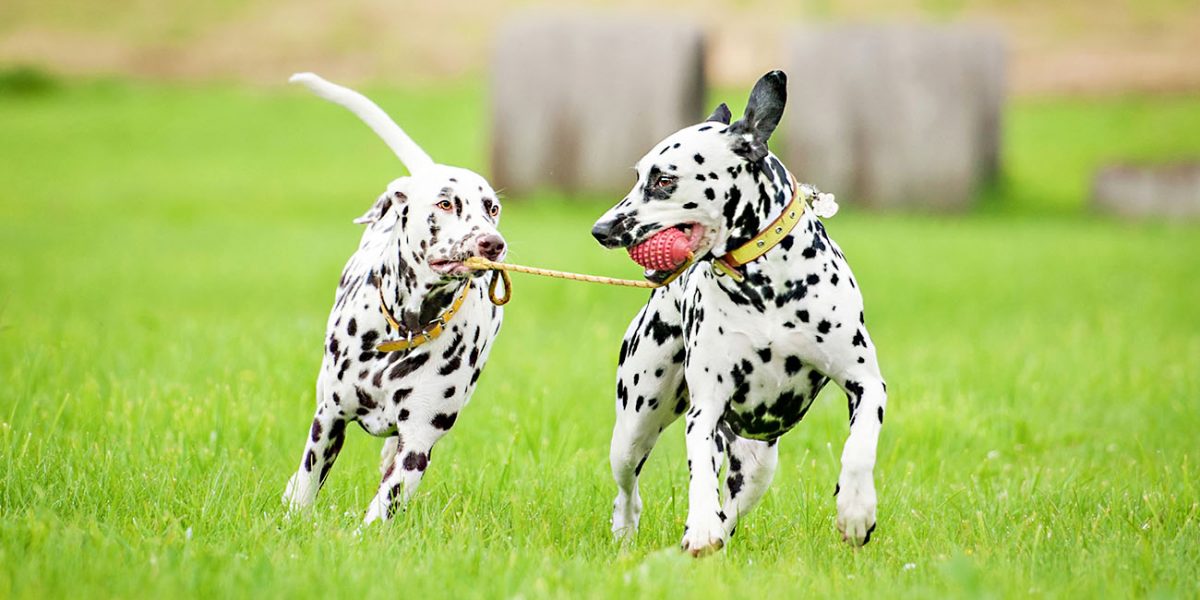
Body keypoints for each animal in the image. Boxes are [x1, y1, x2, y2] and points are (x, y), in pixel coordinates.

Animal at [280, 73, 506, 525]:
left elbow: (382, 506)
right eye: (445, 203)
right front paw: (294, 515)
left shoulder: (417, 444)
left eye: (491, 208)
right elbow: (309, 481)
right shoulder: (329, 419)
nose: (492, 244)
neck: (406, 328)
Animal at [592, 71, 888, 556]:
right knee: (628, 492)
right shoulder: (706, 409)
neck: (766, 288)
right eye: (637, 176)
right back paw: (635, 532)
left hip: (755, 465)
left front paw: (856, 509)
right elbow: (698, 475)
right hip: (635, 426)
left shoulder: (865, 382)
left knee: (730, 509)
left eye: (663, 180)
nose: (601, 230)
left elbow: (859, 447)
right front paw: (699, 525)